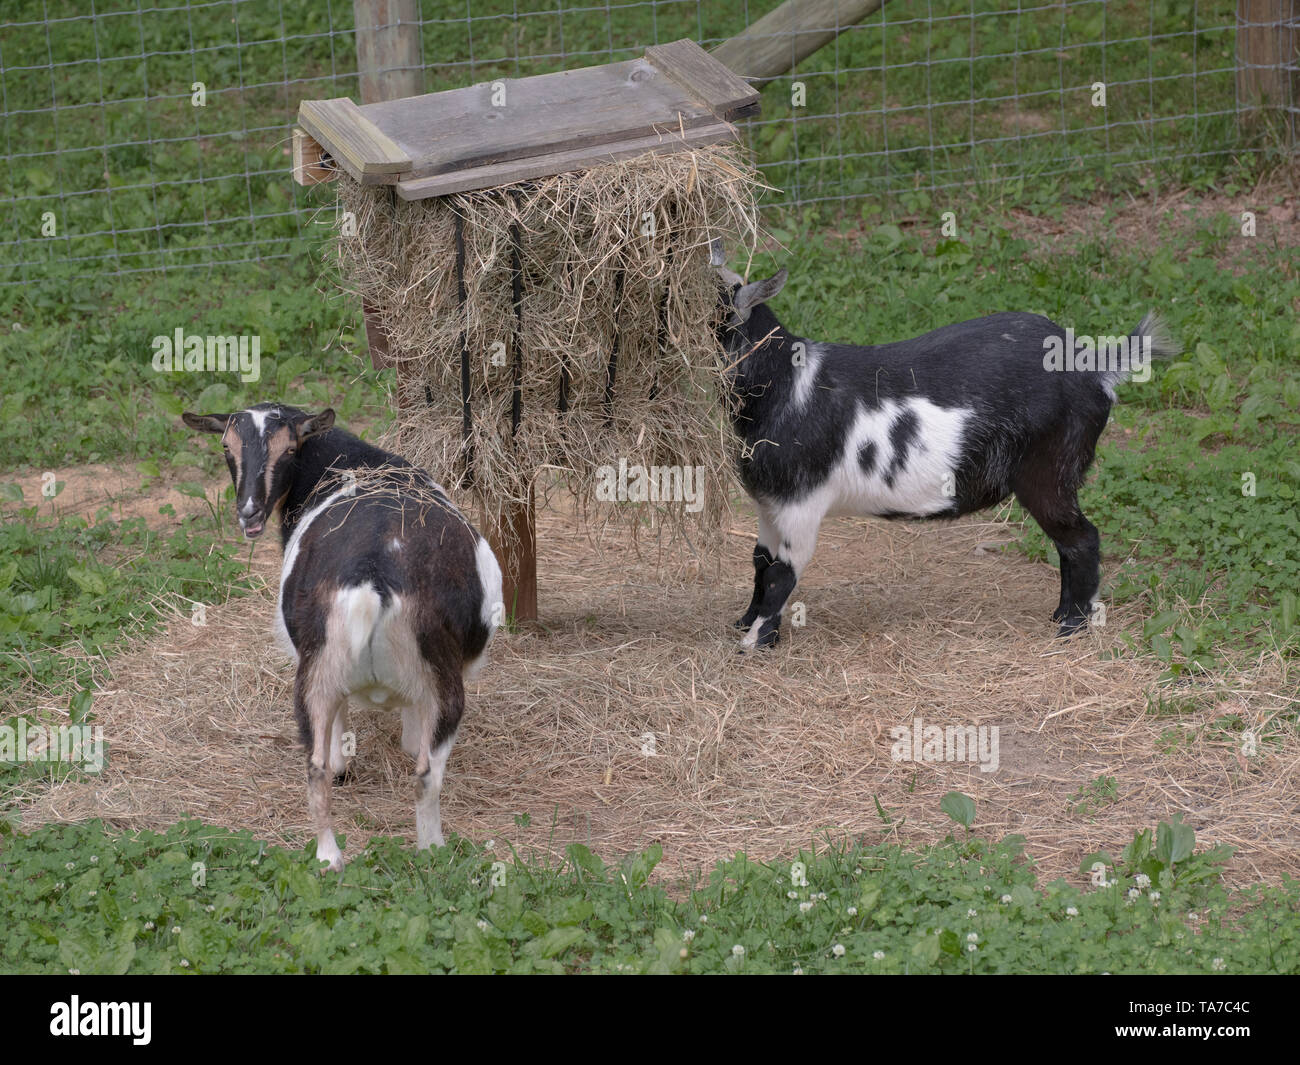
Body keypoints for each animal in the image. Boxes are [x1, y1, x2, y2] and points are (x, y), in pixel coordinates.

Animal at [183, 403, 503, 872]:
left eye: (289, 448)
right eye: (227, 446)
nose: (249, 512)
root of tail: (370, 581)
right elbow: (409, 742)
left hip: (316, 672)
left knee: (315, 769)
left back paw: (328, 857)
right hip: (441, 684)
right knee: (426, 775)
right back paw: (432, 849)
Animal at [709, 241, 1176, 649]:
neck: (784, 386)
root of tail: (1096, 368)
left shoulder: (800, 504)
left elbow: (782, 573)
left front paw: (756, 642)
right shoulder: (769, 504)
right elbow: (760, 560)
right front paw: (745, 622)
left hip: (1049, 473)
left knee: (1082, 539)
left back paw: (1072, 626)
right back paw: (1060, 616)